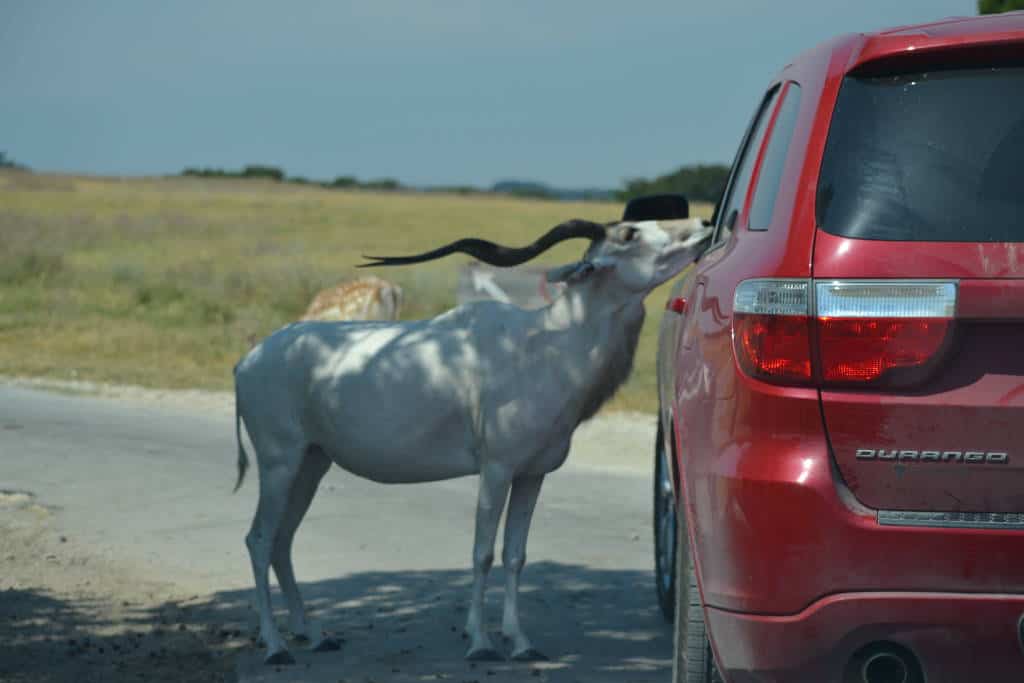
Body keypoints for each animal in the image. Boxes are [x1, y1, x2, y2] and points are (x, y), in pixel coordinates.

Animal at [232, 216, 712, 663]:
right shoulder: (496, 469)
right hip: (279, 462)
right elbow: (482, 552)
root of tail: (247, 363)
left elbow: (515, 555)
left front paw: (521, 643)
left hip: (312, 463)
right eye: (630, 233)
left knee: (282, 540)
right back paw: (275, 646)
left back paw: (313, 635)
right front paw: (481, 642)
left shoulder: (532, 474)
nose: (704, 226)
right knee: (259, 539)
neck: (547, 345)